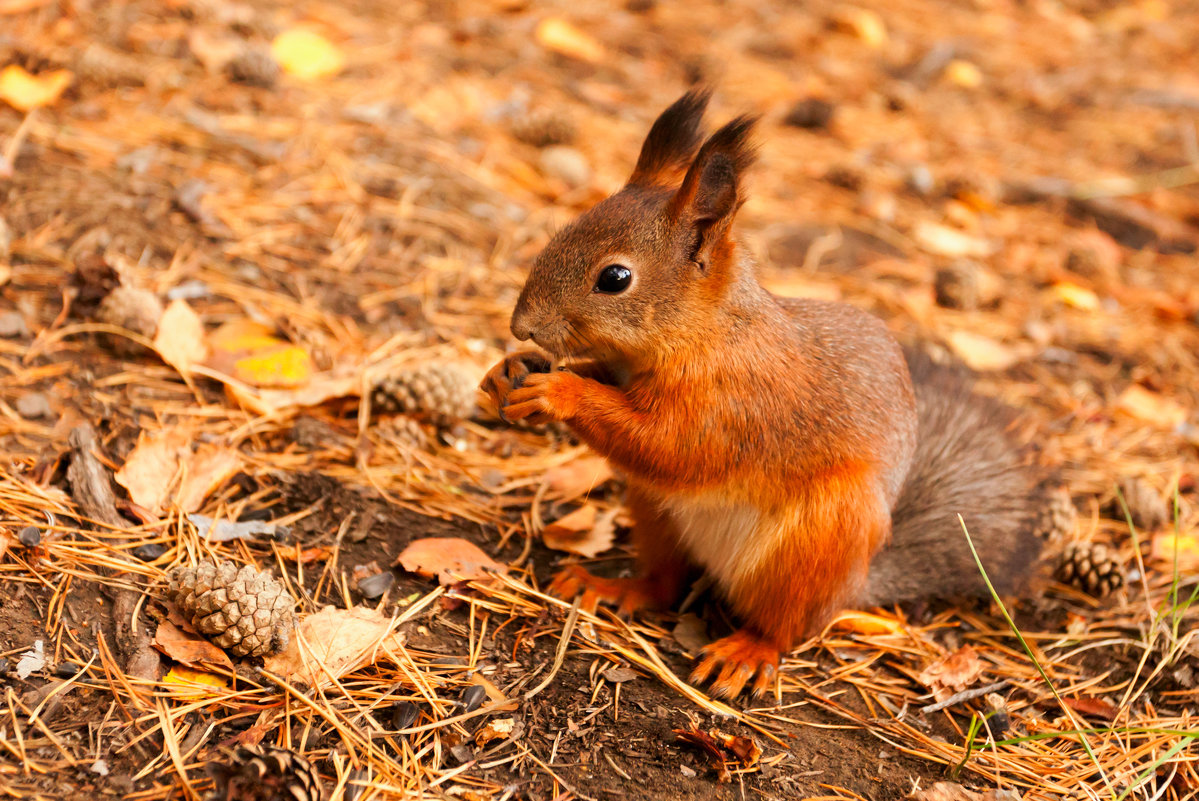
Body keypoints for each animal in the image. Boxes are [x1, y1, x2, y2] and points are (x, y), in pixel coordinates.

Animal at [481, 90, 1064, 695]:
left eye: (614, 278)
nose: (521, 327)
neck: (706, 333)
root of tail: (855, 585)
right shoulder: (626, 373)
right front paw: (509, 371)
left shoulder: (739, 403)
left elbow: (669, 446)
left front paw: (558, 391)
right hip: (656, 516)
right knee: (665, 583)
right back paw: (614, 588)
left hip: (814, 544)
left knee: (784, 626)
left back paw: (745, 653)